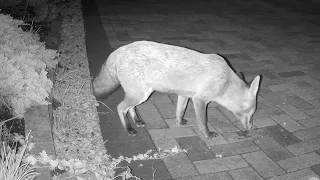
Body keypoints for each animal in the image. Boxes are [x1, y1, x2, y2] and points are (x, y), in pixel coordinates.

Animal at [92, 40, 260, 139]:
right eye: (251, 113)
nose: (251, 128)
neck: (225, 81)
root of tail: (120, 49)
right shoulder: (200, 100)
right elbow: (203, 121)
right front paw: (207, 135)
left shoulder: (185, 95)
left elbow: (180, 110)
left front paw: (179, 122)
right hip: (140, 95)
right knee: (121, 108)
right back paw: (128, 128)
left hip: (140, 94)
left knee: (131, 108)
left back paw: (137, 120)